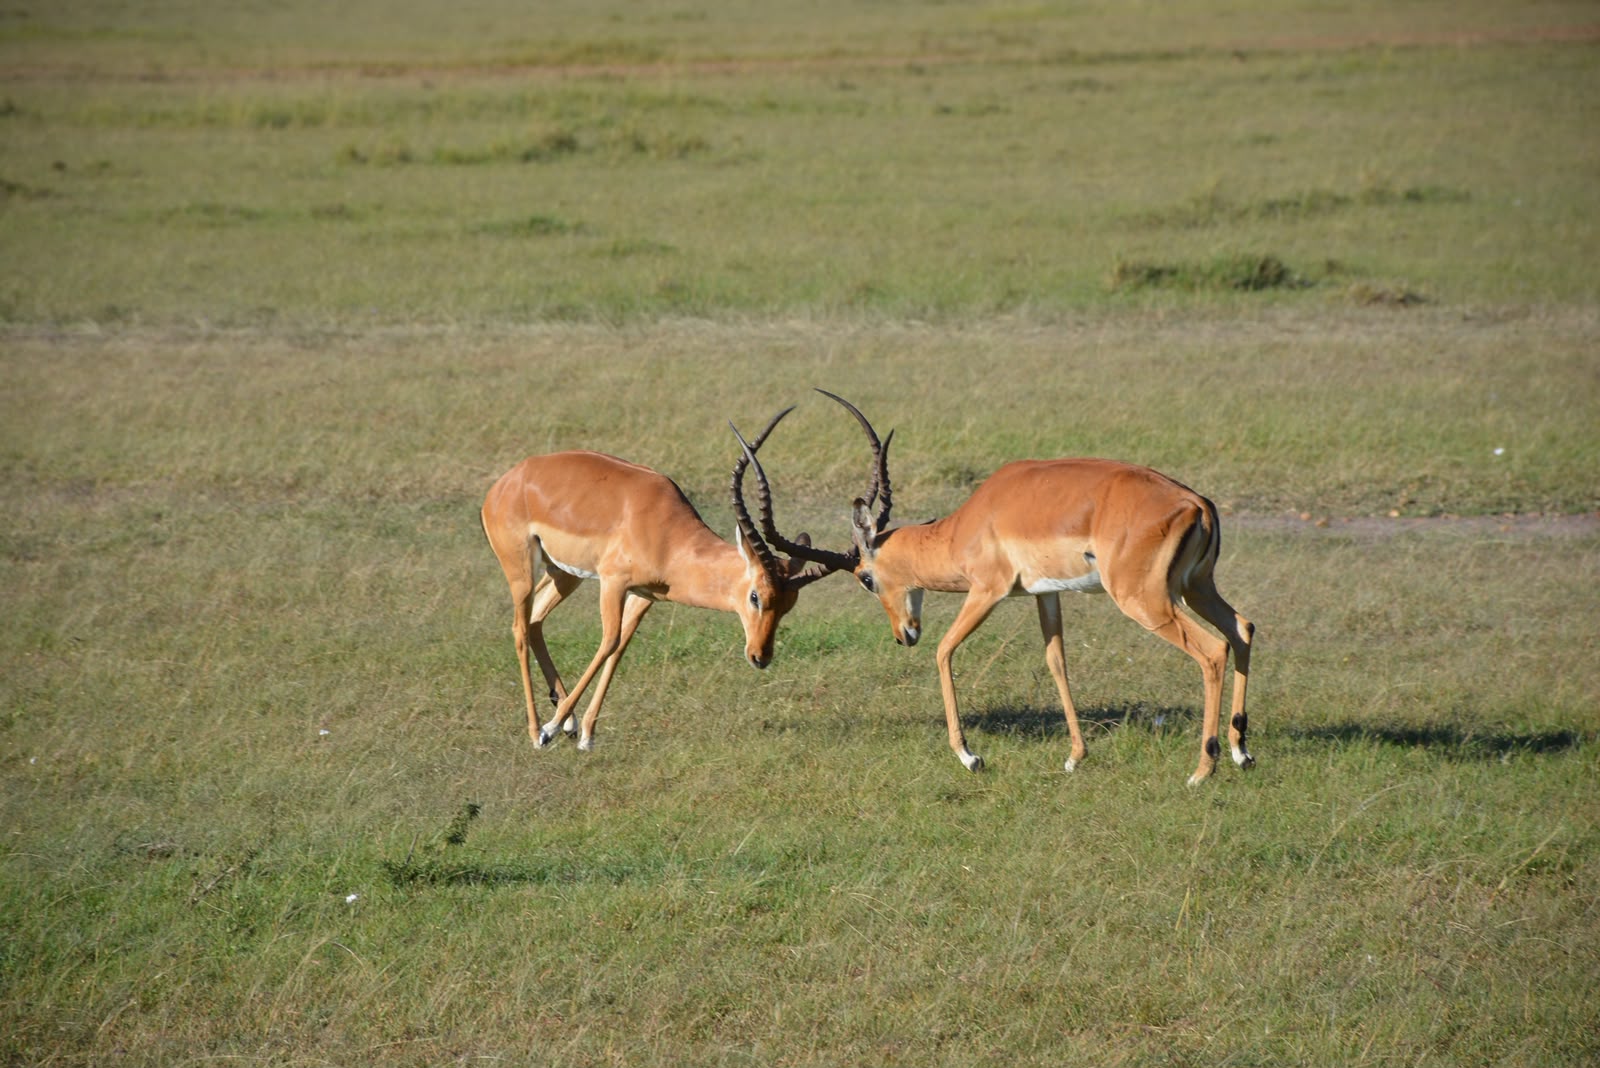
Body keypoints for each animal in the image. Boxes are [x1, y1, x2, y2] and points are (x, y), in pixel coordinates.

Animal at [480, 407, 836, 751]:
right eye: (755, 596)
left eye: (788, 606)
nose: (760, 657)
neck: (667, 532)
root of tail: (504, 484)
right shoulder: (613, 582)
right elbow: (608, 641)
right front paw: (550, 730)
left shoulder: (644, 595)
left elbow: (620, 646)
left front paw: (586, 735)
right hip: (522, 573)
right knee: (520, 629)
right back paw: (537, 731)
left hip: (564, 574)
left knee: (536, 621)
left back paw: (567, 722)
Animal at [782, 391, 1256, 785]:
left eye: (865, 578)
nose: (904, 635)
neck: (968, 525)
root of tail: (1196, 504)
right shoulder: (1046, 594)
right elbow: (1056, 661)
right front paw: (1075, 757)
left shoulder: (986, 592)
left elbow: (944, 650)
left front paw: (970, 757)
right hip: (1195, 588)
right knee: (1242, 628)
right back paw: (1240, 752)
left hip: (1147, 601)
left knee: (1214, 650)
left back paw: (1202, 770)